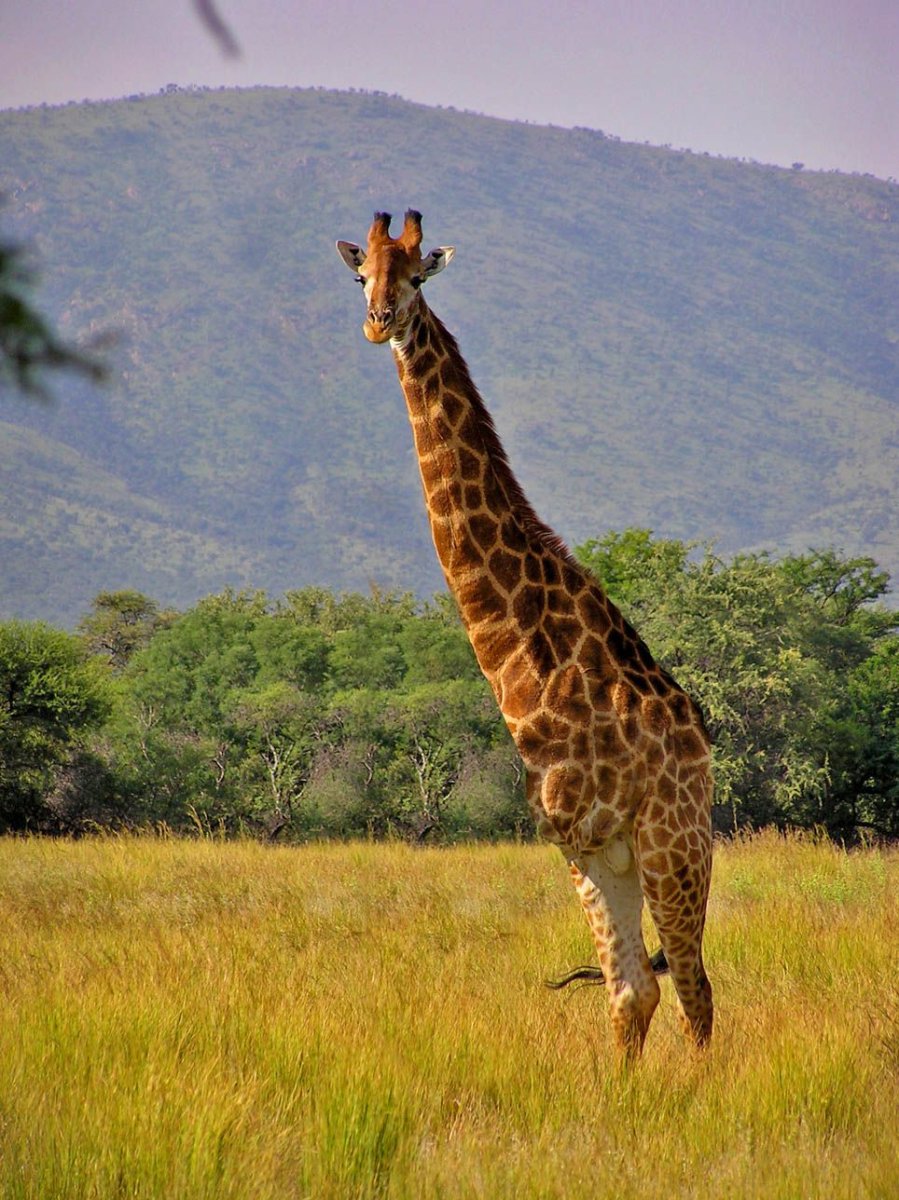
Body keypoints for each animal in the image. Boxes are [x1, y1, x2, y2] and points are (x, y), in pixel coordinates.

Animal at [336, 210, 713, 1058]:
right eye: (361, 274)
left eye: (416, 276)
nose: (377, 322)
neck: (521, 658)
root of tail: (703, 750)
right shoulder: (578, 845)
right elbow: (623, 994)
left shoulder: (600, 840)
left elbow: (656, 992)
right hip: (633, 858)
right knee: (651, 988)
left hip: (676, 845)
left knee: (697, 992)